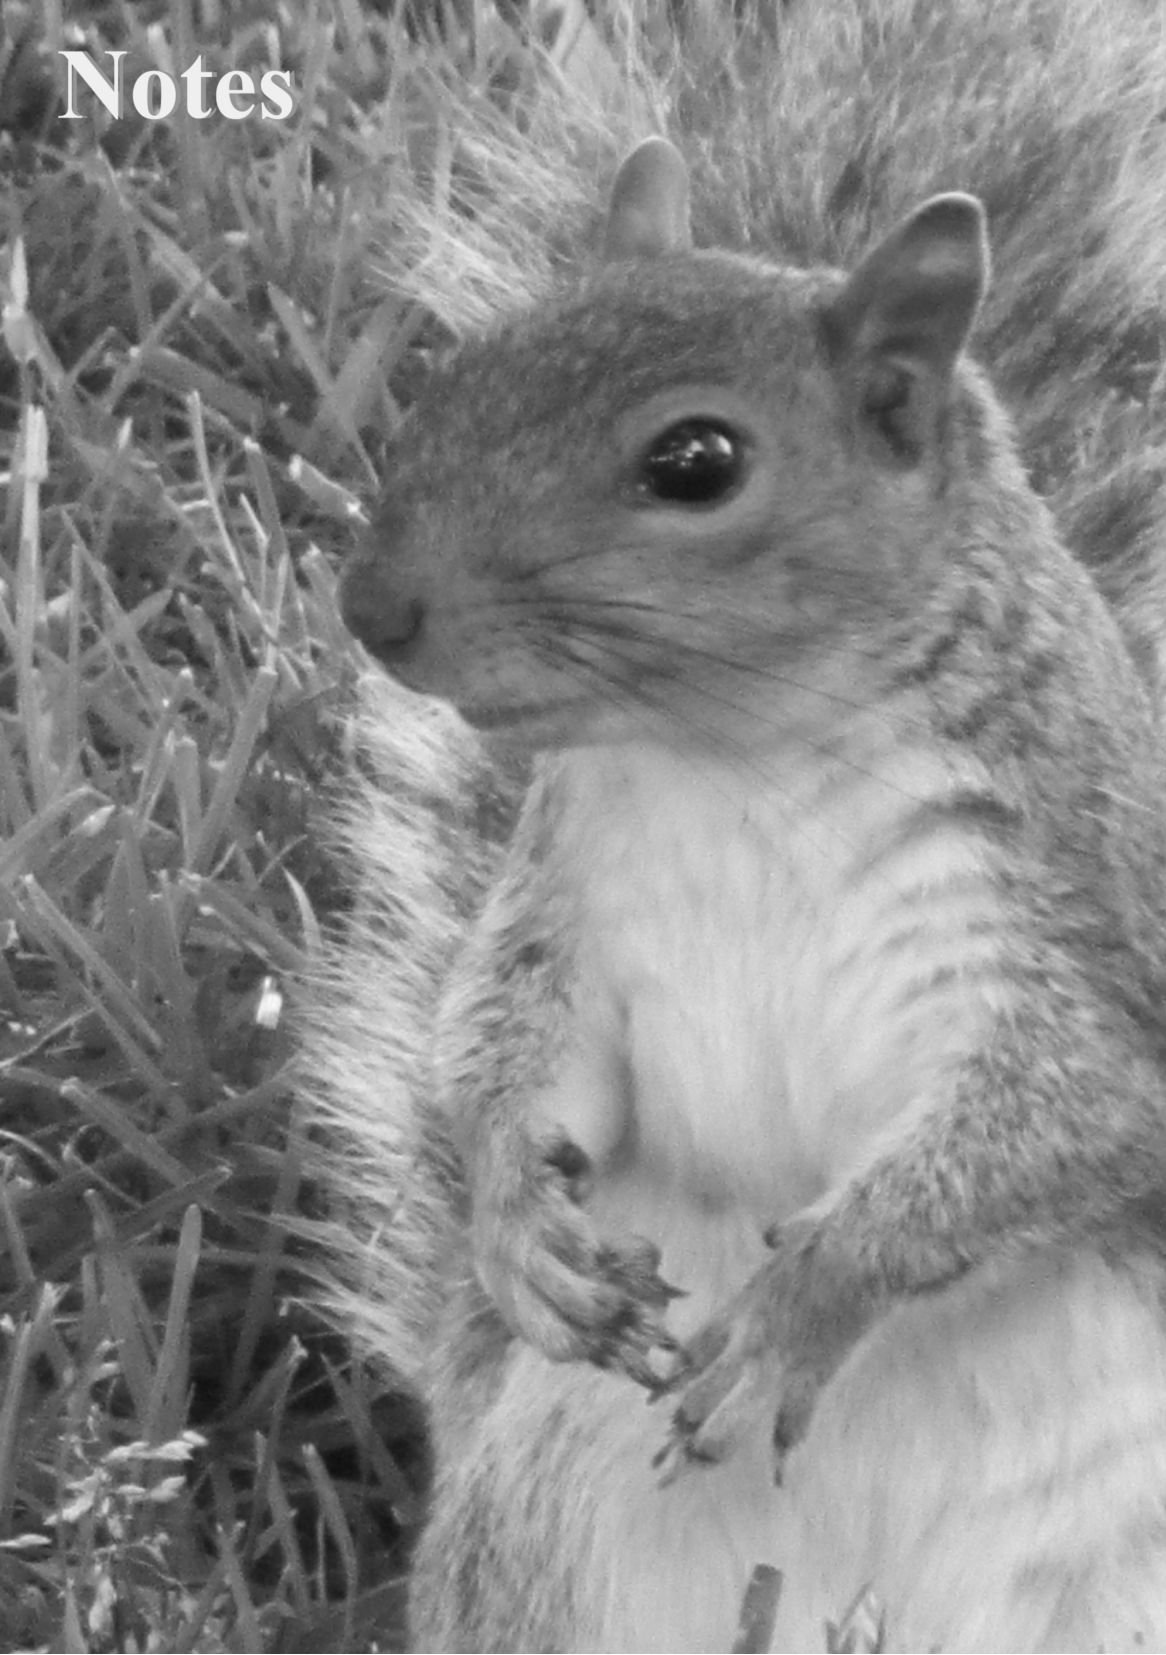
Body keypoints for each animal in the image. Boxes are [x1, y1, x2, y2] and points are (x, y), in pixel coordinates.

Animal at [305, 0, 1166, 1648]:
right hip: (545, 1547)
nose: (374, 609)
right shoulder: (564, 906)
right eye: (456, 379)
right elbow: (492, 1050)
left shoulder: (1087, 925)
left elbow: (1050, 1128)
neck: (737, 759)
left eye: (693, 462)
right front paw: (515, 1224)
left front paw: (799, 1303)